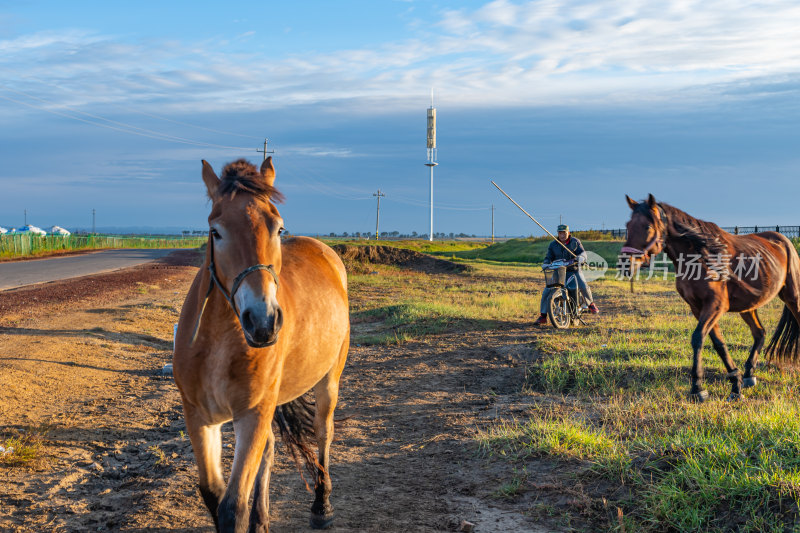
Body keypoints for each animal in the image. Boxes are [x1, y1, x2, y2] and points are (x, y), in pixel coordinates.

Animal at [175, 159, 350, 532]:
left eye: (278, 228)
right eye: (216, 231)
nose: (263, 320)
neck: (219, 345)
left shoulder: (252, 414)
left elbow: (232, 506)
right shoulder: (199, 417)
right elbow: (213, 495)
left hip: (329, 379)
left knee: (323, 432)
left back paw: (322, 505)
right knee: (269, 449)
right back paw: (262, 519)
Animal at [620, 194, 800, 400]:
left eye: (648, 227)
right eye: (628, 226)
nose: (625, 265)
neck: (700, 258)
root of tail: (784, 241)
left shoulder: (715, 305)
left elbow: (698, 338)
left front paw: (698, 388)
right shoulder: (698, 308)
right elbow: (718, 343)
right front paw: (735, 384)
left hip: (792, 297)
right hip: (748, 307)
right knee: (760, 333)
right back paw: (748, 375)